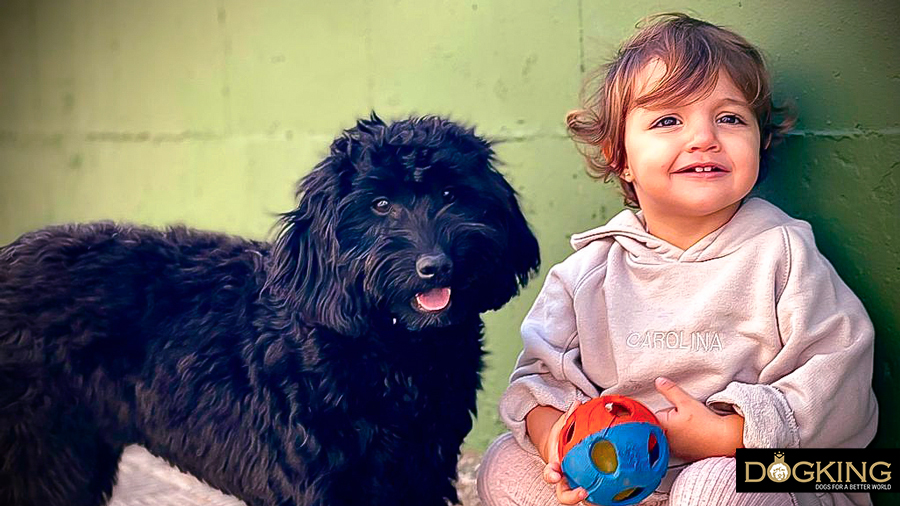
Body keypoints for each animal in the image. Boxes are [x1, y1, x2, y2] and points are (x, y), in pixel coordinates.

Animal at [0, 115, 540, 506]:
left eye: (451, 194)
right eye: (381, 204)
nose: (435, 265)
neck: (387, 345)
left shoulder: (418, 470)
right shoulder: (321, 478)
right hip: (40, 456)